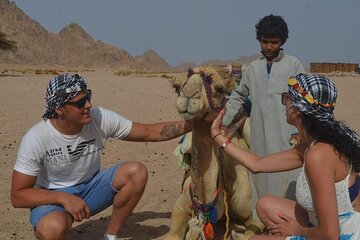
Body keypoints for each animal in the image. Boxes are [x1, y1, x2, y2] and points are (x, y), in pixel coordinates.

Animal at [165, 66, 262, 240]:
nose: (188, 96)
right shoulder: (180, 208)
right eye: (176, 87)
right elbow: (174, 234)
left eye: (220, 89)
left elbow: (248, 233)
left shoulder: (255, 218)